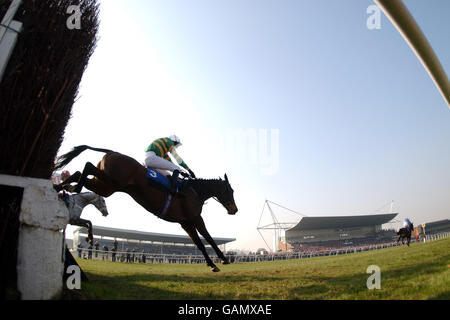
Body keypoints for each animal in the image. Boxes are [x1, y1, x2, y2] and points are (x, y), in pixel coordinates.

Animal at [54, 145, 237, 272]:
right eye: (231, 190)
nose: (234, 209)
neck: (195, 191)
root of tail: (113, 152)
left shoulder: (185, 223)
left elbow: (199, 244)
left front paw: (212, 264)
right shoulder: (195, 218)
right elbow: (209, 238)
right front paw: (223, 259)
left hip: (106, 186)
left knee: (79, 173)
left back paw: (62, 187)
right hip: (111, 181)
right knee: (87, 166)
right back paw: (71, 188)